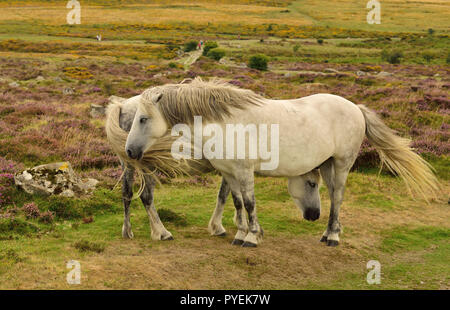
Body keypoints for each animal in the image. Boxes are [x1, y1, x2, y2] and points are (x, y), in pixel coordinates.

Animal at [107, 77, 438, 247]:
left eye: (144, 119)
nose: (131, 150)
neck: (226, 122)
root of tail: (354, 107)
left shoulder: (242, 171)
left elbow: (247, 202)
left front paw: (250, 236)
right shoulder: (230, 172)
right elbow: (236, 200)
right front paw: (240, 232)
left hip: (341, 163)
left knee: (338, 197)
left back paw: (332, 235)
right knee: (139, 196)